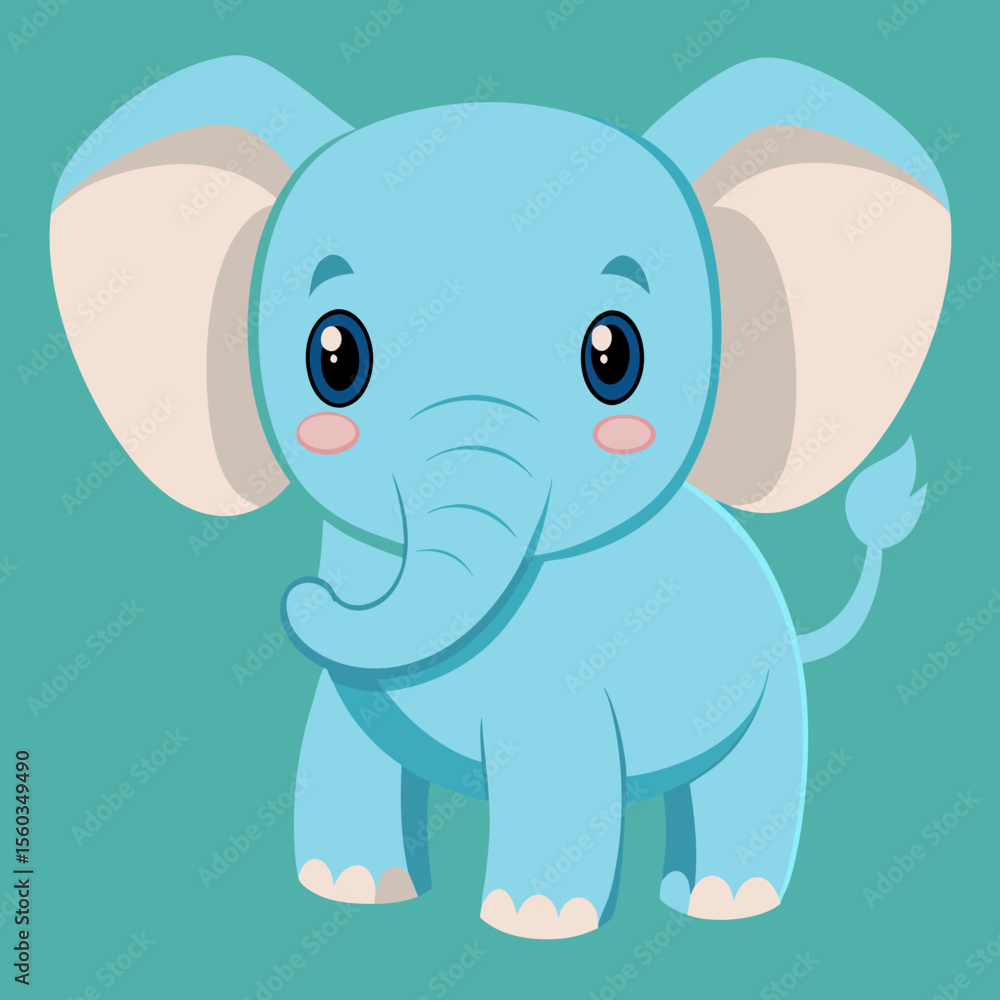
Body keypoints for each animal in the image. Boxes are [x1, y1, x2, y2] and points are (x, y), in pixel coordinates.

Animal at [49, 55, 950, 939]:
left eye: (613, 356)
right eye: (333, 357)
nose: (307, 596)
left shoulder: (568, 679)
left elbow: (559, 778)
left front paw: (536, 921)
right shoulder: (354, 689)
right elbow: (339, 752)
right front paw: (352, 889)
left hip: (766, 686)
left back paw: (723, 902)